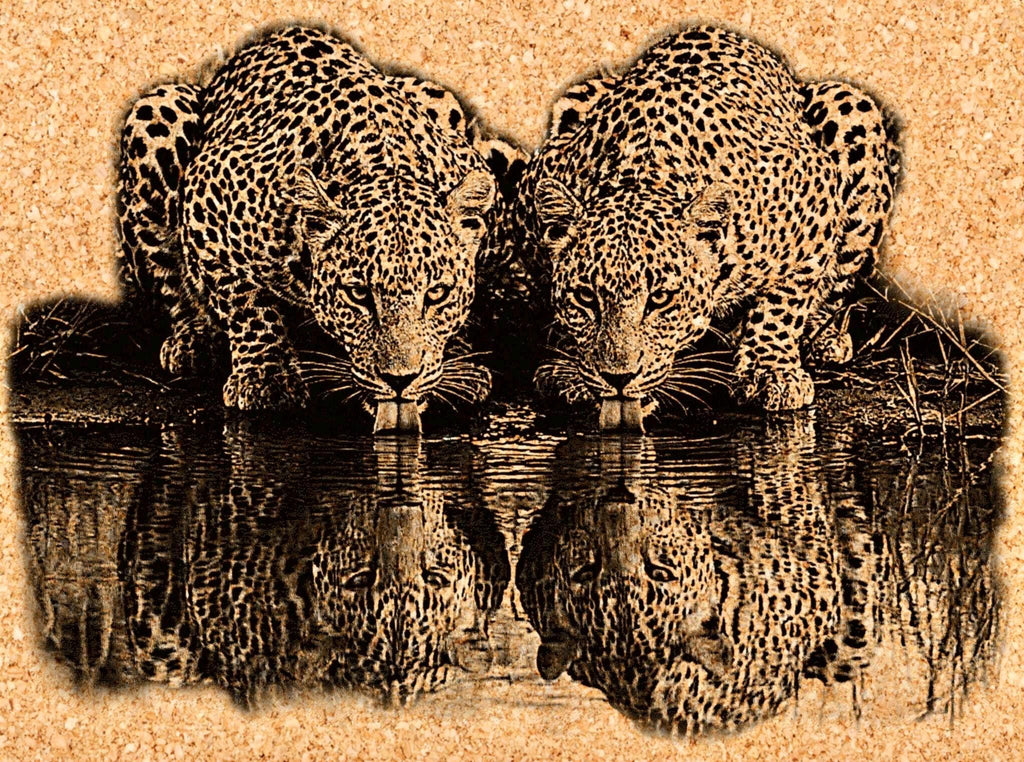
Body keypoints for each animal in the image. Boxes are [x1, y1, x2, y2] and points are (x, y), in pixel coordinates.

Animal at [117, 24, 525, 432]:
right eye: (358, 294)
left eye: (437, 293)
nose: (400, 380)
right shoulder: (208, 187)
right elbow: (243, 300)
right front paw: (267, 376)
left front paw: (459, 362)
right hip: (154, 115)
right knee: (168, 280)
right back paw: (194, 339)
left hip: (440, 97)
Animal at [510, 25, 901, 430]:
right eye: (586, 297)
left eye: (660, 299)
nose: (618, 378)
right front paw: (569, 369)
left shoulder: (814, 193)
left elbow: (786, 299)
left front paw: (770, 369)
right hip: (575, 98)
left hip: (853, 110)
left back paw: (825, 338)